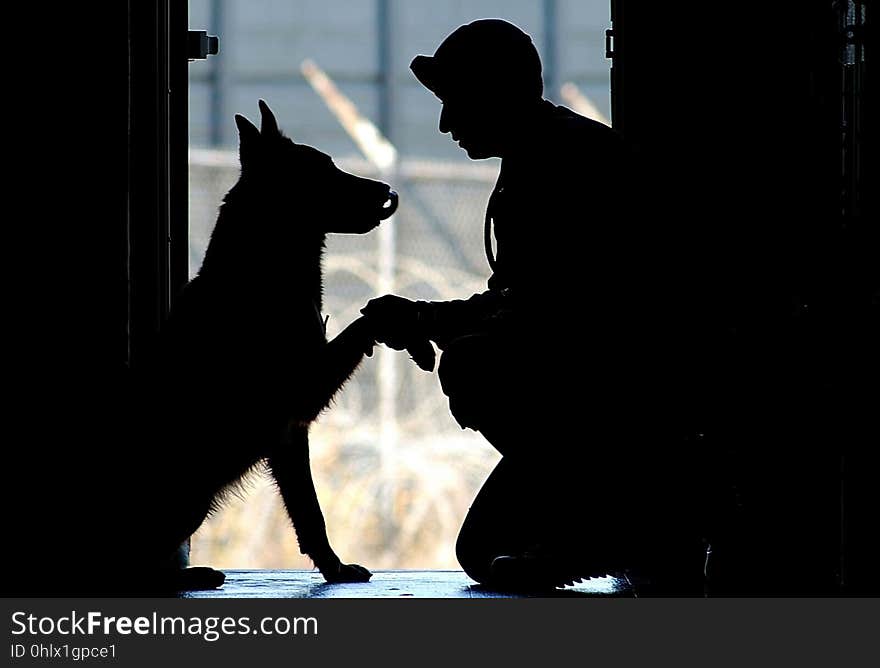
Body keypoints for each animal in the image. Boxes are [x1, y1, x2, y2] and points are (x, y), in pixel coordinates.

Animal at [138, 100, 398, 588]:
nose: (387, 190)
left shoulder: (290, 434)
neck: (260, 271)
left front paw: (333, 567)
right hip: (193, 496)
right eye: (323, 170)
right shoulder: (300, 401)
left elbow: (309, 513)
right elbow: (359, 327)